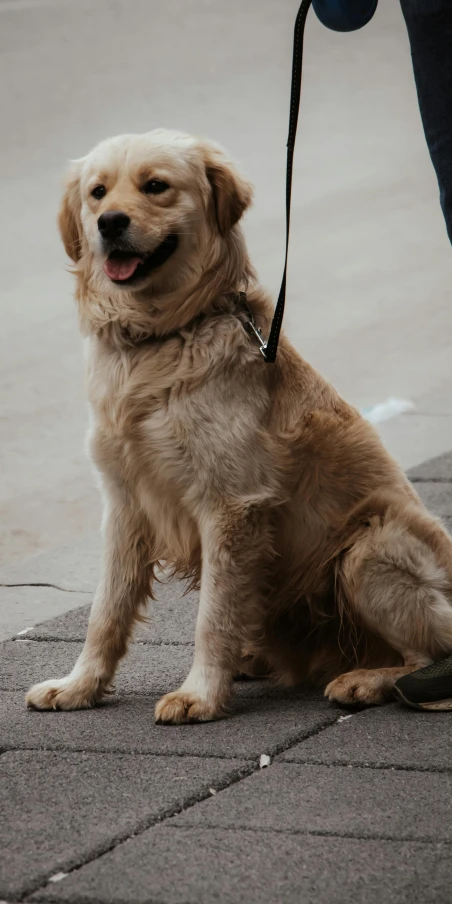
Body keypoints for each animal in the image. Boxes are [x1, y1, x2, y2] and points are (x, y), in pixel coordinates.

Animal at [26, 129, 452, 720]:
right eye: (97, 192)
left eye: (155, 186)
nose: (109, 223)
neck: (159, 338)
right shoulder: (125, 501)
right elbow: (105, 610)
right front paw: (78, 686)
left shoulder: (231, 505)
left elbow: (214, 616)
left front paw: (200, 694)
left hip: (369, 548)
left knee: (426, 655)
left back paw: (368, 681)